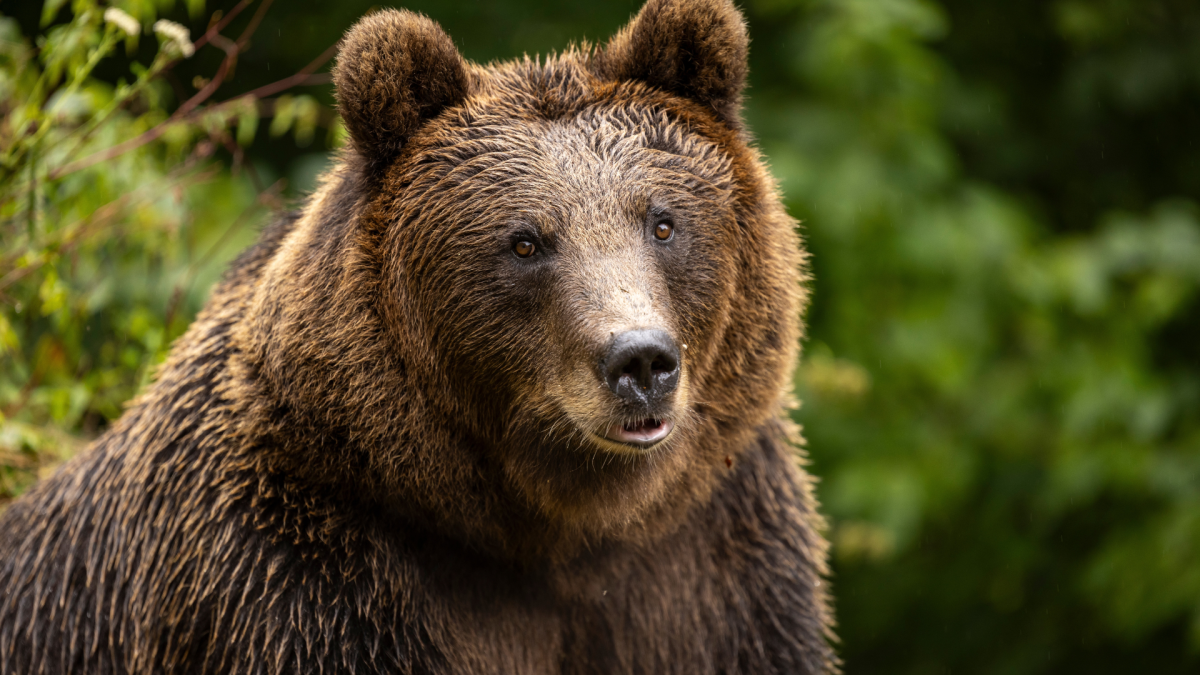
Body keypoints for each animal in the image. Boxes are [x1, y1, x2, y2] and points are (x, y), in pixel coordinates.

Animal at [0, 0, 835, 667]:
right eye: (525, 241)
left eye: (662, 222)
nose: (640, 361)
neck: (557, 532)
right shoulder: (304, 573)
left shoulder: (713, 558)